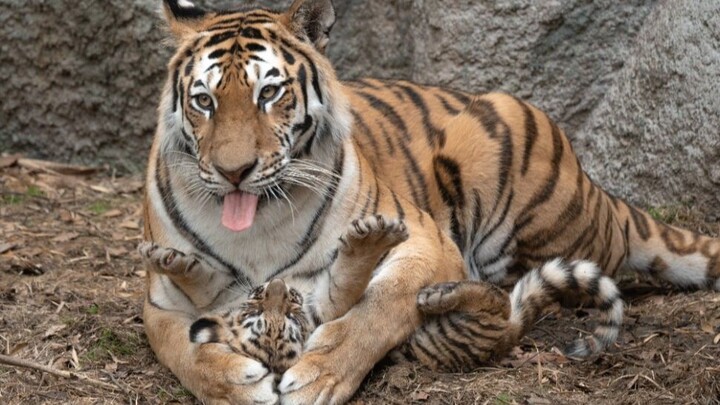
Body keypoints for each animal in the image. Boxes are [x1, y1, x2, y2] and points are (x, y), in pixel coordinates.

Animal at [142, 0, 720, 404]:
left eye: (269, 93)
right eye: (203, 101)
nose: (233, 172)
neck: (256, 226)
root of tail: (597, 190)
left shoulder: (425, 240)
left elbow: (377, 307)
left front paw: (320, 375)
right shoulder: (160, 303)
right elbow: (182, 348)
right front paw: (233, 381)